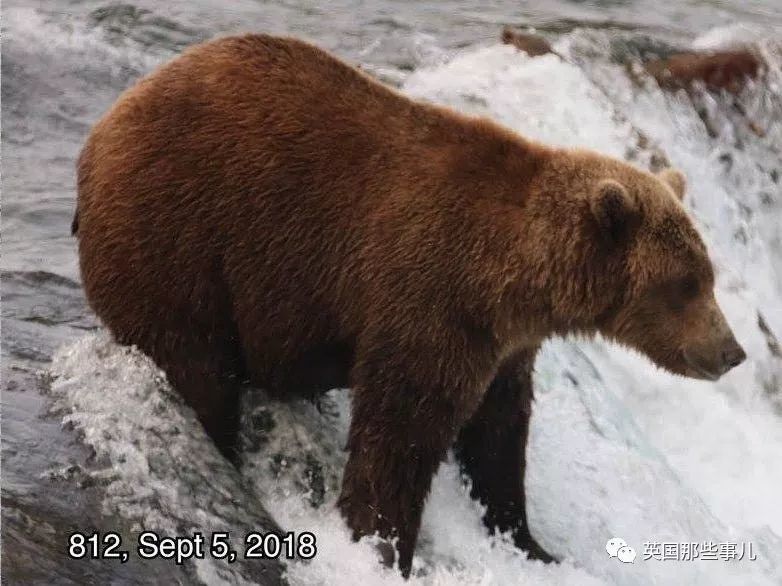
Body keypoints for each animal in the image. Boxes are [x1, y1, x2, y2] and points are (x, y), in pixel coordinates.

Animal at [73, 34, 748, 572]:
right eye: (687, 284)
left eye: (709, 275)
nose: (732, 351)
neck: (513, 275)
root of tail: (102, 129)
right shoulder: (430, 297)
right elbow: (404, 428)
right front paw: (382, 543)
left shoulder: (504, 342)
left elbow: (499, 433)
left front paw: (528, 541)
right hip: (177, 235)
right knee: (197, 369)